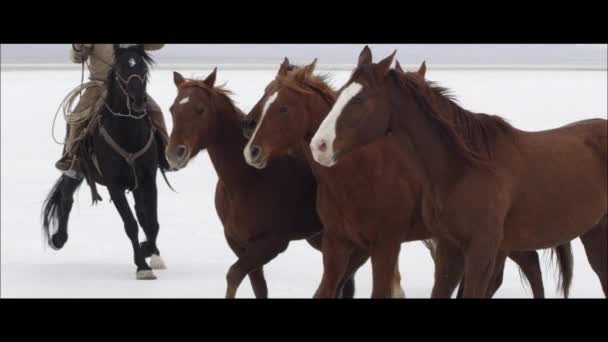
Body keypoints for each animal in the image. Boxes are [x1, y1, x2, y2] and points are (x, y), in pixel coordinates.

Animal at [42, 44, 171, 280]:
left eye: (142, 66)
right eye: (120, 68)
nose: (138, 101)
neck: (128, 133)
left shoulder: (148, 181)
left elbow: (152, 222)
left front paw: (150, 252)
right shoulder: (115, 186)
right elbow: (130, 224)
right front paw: (142, 266)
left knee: (143, 215)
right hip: (76, 167)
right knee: (66, 196)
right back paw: (59, 238)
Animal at [165, 69, 356, 296]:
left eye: (200, 110)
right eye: (172, 109)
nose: (174, 154)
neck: (246, 180)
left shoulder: (272, 243)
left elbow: (234, 274)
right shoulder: (240, 244)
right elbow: (257, 287)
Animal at [240, 60, 572, 298]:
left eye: (283, 107)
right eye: (265, 93)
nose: (251, 148)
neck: (356, 175)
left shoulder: (385, 244)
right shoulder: (338, 243)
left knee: (530, 266)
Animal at [312, 46, 604, 298]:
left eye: (360, 100)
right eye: (340, 93)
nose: (319, 145)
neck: (462, 170)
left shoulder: (481, 251)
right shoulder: (448, 250)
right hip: (594, 235)